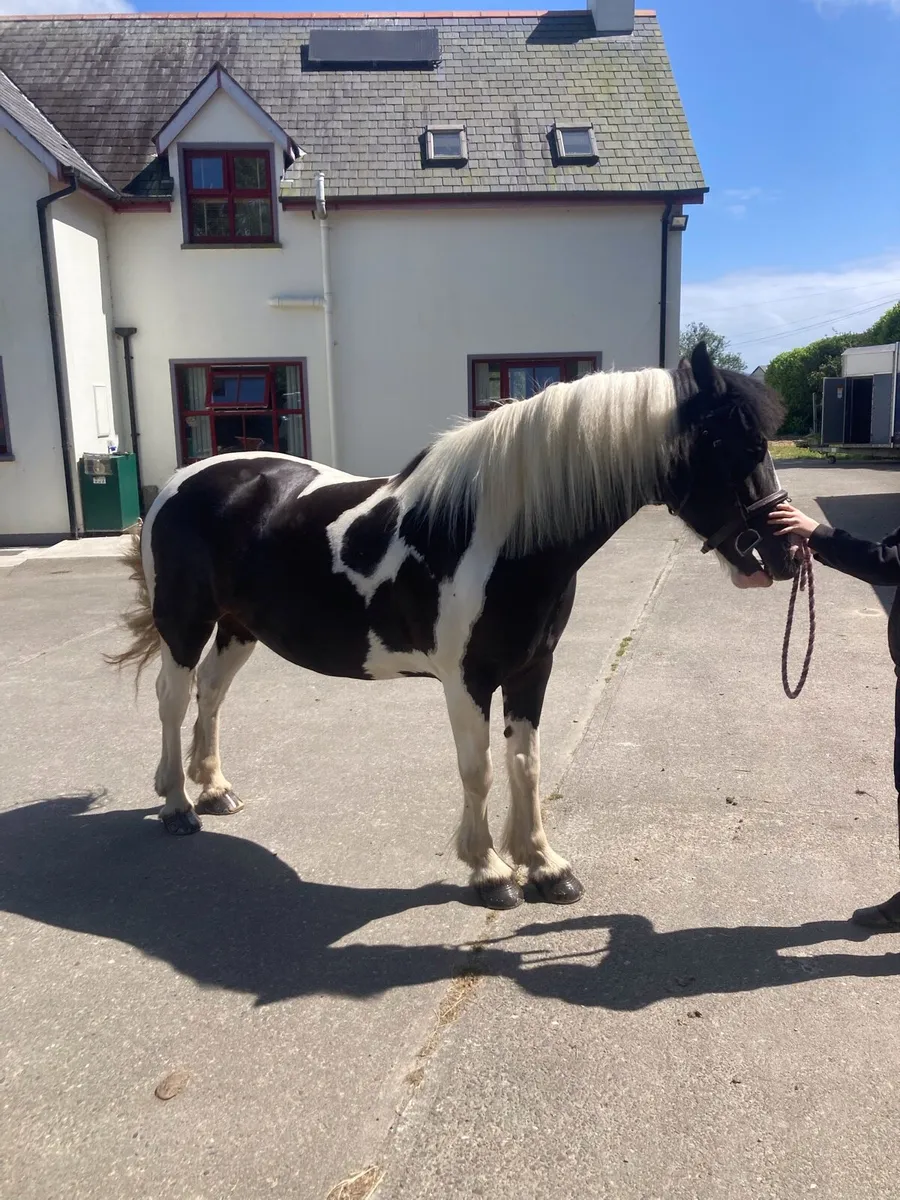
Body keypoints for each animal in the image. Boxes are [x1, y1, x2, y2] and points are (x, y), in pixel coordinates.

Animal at [109, 342, 795, 911]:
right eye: (742, 448)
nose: (786, 554)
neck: (498, 535)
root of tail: (181, 481)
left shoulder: (532, 668)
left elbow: (526, 763)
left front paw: (545, 867)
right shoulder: (467, 680)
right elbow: (480, 769)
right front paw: (489, 872)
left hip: (238, 628)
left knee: (211, 695)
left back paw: (213, 790)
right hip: (185, 623)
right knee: (173, 700)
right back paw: (177, 806)